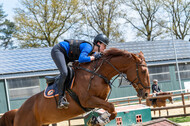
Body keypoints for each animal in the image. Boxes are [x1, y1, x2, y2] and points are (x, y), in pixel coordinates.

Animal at [11, 47, 151, 125]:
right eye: (143, 71)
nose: (146, 94)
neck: (98, 73)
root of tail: (18, 111)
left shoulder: (100, 99)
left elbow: (112, 109)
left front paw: (97, 120)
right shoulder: (87, 100)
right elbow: (111, 107)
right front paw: (99, 120)